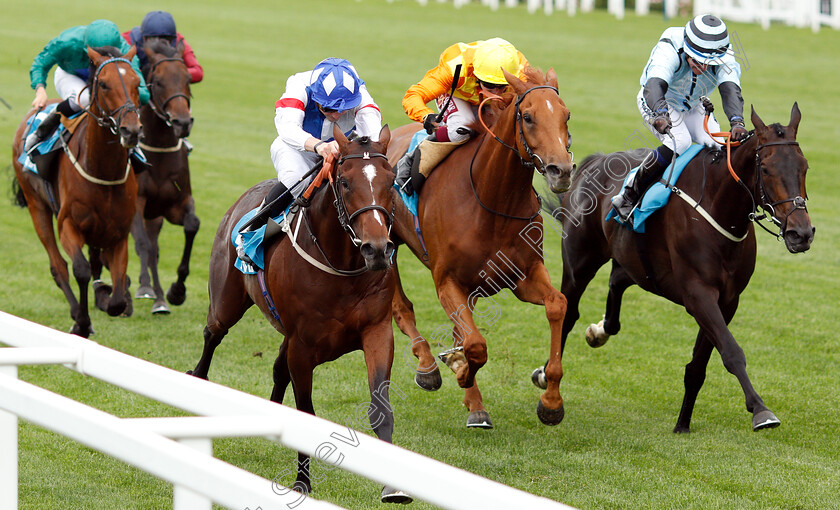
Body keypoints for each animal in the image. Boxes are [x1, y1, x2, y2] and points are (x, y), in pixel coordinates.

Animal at [11, 45, 141, 336]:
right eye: (104, 84)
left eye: (137, 82)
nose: (131, 130)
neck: (103, 171)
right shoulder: (68, 224)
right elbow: (79, 269)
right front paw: (82, 322)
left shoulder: (119, 233)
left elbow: (117, 290)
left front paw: (112, 297)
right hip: (37, 207)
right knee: (58, 266)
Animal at [188, 126, 410, 502]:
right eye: (345, 182)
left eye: (390, 179)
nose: (378, 249)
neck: (342, 269)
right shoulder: (303, 347)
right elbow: (306, 410)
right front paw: (302, 482)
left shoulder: (377, 331)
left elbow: (381, 408)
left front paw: (392, 486)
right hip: (226, 303)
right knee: (212, 336)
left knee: (277, 368)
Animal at [388, 65, 576, 428]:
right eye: (528, 117)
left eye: (566, 115)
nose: (561, 170)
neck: (491, 200)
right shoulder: (446, 280)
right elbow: (475, 344)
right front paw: (461, 370)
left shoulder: (523, 276)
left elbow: (557, 304)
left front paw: (551, 402)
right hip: (383, 246)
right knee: (401, 307)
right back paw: (429, 367)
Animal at [540, 102, 812, 430]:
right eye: (767, 169)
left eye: (804, 167)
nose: (801, 233)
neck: (718, 207)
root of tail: (595, 162)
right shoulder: (699, 295)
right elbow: (731, 352)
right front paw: (760, 410)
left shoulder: (727, 300)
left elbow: (698, 366)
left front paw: (682, 424)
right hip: (580, 262)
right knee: (568, 314)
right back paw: (545, 377)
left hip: (637, 263)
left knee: (617, 280)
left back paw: (600, 330)